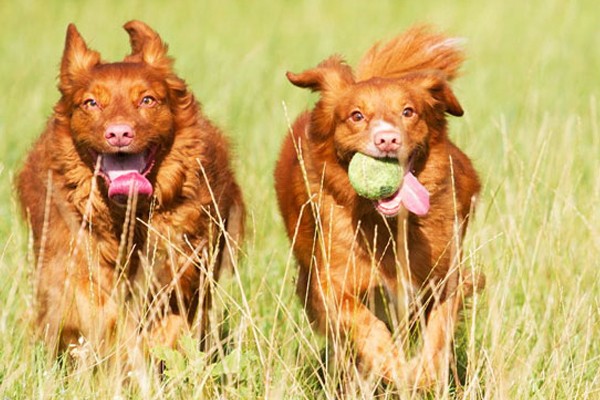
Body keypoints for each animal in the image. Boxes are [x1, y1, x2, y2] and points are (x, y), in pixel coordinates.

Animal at [17, 21, 245, 366]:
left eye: (147, 100)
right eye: (91, 103)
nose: (119, 133)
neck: (128, 214)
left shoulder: (182, 271)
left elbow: (170, 324)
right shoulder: (73, 266)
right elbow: (99, 314)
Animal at [274, 25, 486, 388]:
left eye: (408, 111)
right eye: (357, 116)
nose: (387, 139)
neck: (385, 223)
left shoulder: (445, 278)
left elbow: (438, 332)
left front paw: (424, 372)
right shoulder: (331, 286)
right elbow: (369, 328)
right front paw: (396, 366)